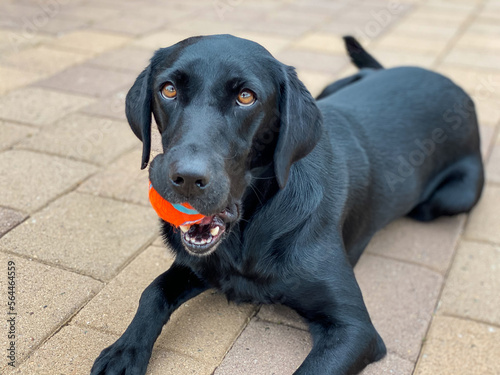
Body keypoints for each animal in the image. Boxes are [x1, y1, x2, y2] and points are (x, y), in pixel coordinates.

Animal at [91, 36, 484, 375]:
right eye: (168, 89)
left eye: (246, 97)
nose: (185, 178)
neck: (249, 230)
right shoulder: (200, 265)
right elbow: (153, 291)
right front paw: (124, 352)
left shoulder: (355, 330)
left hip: (452, 198)